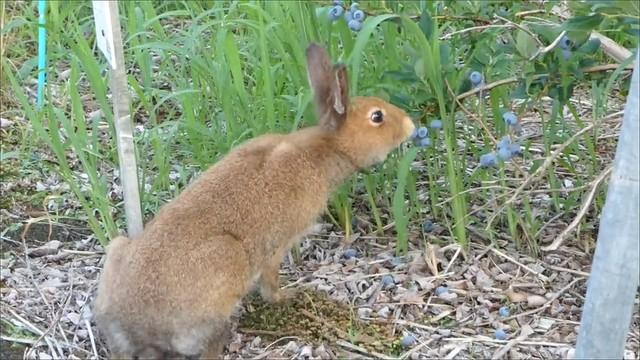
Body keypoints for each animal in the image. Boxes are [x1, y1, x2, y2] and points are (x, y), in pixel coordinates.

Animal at [94, 42, 416, 358]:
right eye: (377, 117)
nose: (411, 125)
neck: (324, 150)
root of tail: (134, 327)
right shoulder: (278, 244)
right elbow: (270, 280)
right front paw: (286, 296)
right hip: (227, 264)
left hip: (118, 248)